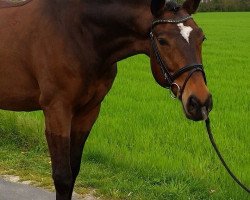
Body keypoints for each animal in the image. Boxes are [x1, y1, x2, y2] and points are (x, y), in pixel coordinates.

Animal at [0, 0, 212, 199]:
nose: (200, 101)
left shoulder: (89, 111)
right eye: (162, 40)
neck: (79, 34)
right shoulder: (57, 111)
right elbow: (62, 177)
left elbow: (74, 171)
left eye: (201, 37)